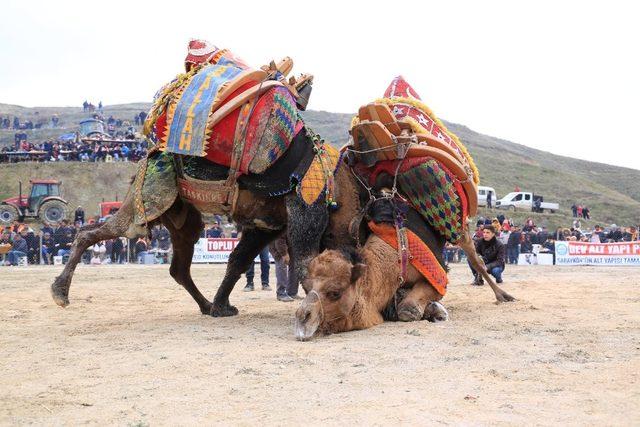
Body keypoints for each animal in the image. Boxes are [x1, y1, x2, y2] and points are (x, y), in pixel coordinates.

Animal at [52, 129, 362, 320]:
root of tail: (148, 155)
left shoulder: (267, 226)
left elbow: (238, 260)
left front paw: (222, 306)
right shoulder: (306, 208)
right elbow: (306, 265)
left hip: (182, 221)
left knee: (179, 268)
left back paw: (207, 305)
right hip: (146, 202)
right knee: (90, 233)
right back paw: (60, 293)